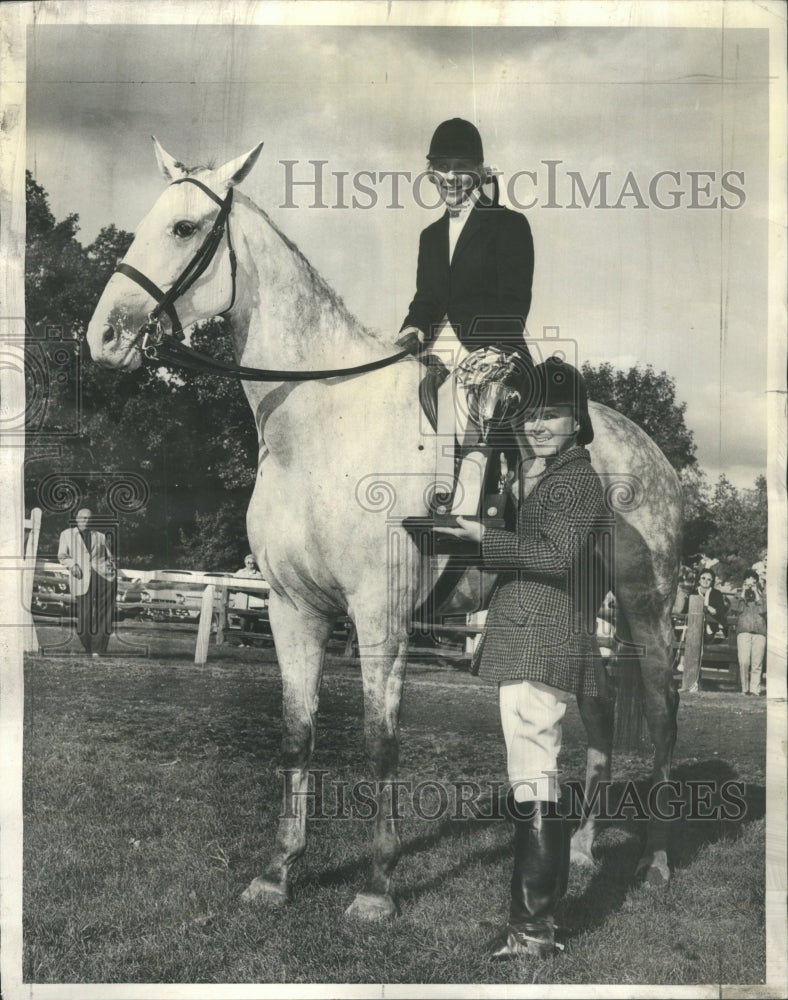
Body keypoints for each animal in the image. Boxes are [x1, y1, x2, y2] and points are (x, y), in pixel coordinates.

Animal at [87, 141, 684, 920]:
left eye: (185, 228)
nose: (103, 337)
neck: (319, 426)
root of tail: (649, 449)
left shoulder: (380, 615)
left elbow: (381, 741)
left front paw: (377, 886)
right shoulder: (292, 609)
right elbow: (297, 732)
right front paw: (278, 872)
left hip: (646, 604)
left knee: (662, 712)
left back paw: (657, 861)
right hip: (576, 605)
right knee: (602, 708)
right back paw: (581, 849)